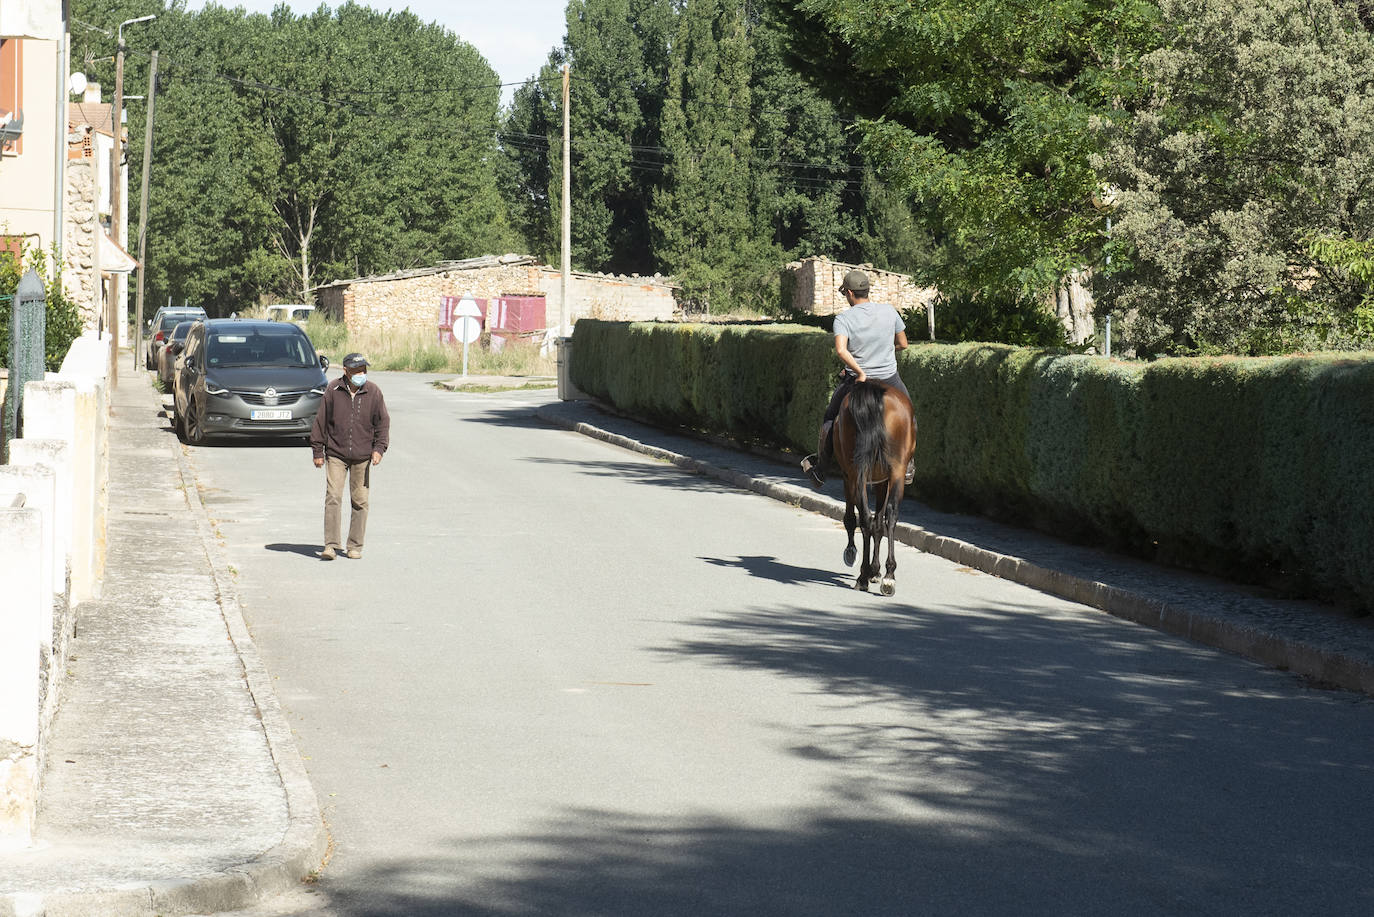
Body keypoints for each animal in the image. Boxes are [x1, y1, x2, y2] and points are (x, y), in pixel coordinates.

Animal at [829, 379, 917, 596]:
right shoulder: (882, 480)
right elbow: (879, 522)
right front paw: (876, 571)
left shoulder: (848, 476)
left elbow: (852, 518)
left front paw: (858, 558)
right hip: (895, 470)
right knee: (888, 515)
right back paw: (888, 577)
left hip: (856, 472)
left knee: (865, 517)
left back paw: (864, 576)